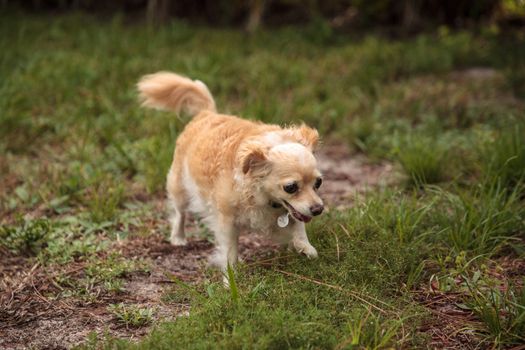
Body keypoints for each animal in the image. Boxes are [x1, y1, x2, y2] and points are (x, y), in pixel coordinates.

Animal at [137, 72, 322, 276]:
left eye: (318, 183)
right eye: (290, 187)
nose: (318, 209)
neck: (264, 197)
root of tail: (207, 113)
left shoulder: (293, 210)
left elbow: (298, 224)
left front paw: (305, 247)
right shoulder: (227, 222)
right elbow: (230, 250)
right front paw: (230, 275)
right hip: (180, 187)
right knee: (180, 213)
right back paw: (178, 237)